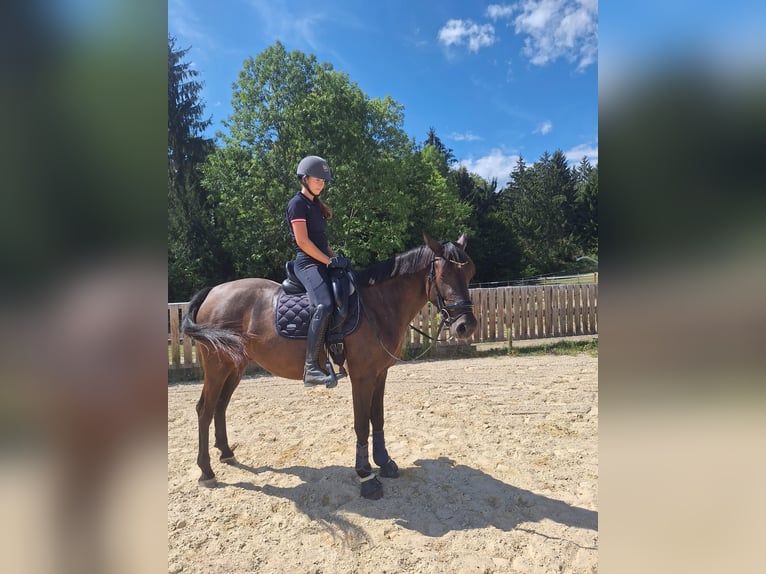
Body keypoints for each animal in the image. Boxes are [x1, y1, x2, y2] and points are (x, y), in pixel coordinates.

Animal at [181, 233, 477, 499]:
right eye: (442, 275)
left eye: (469, 272)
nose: (467, 326)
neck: (376, 307)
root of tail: (213, 291)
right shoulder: (362, 377)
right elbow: (362, 424)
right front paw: (366, 476)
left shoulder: (380, 374)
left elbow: (378, 418)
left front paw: (384, 462)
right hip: (217, 367)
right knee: (204, 410)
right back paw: (206, 471)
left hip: (235, 366)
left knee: (220, 406)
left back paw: (226, 453)